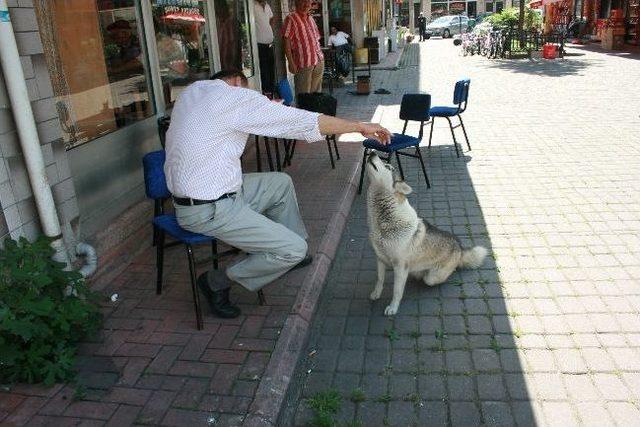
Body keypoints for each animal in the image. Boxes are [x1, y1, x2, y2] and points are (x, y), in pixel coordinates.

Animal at [364, 152, 490, 316]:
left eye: (387, 166)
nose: (372, 152)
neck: (384, 220)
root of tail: (459, 247)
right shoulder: (379, 259)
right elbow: (379, 280)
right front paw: (376, 294)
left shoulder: (400, 266)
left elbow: (397, 291)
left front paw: (393, 307)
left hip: (432, 277)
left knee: (435, 277)